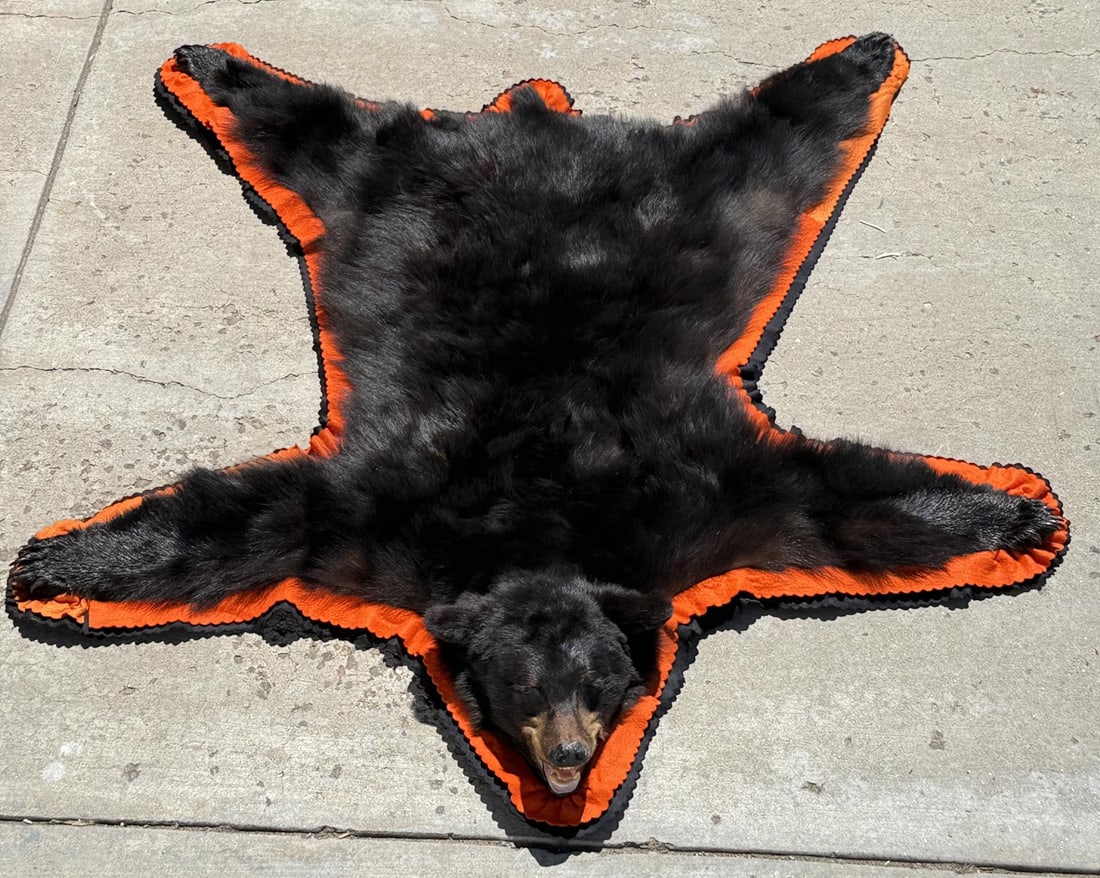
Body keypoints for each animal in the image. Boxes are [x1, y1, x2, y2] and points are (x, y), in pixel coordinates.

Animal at [11, 35, 1057, 796]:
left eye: (596, 682)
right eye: (518, 689)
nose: (565, 765)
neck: (543, 527)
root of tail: (531, 121)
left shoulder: (701, 501)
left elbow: (830, 503)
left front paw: (1017, 513)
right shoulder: (384, 521)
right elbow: (258, 521)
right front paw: (54, 561)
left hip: (690, 202)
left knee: (764, 146)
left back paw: (865, 57)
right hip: (383, 185)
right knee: (318, 133)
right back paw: (211, 65)